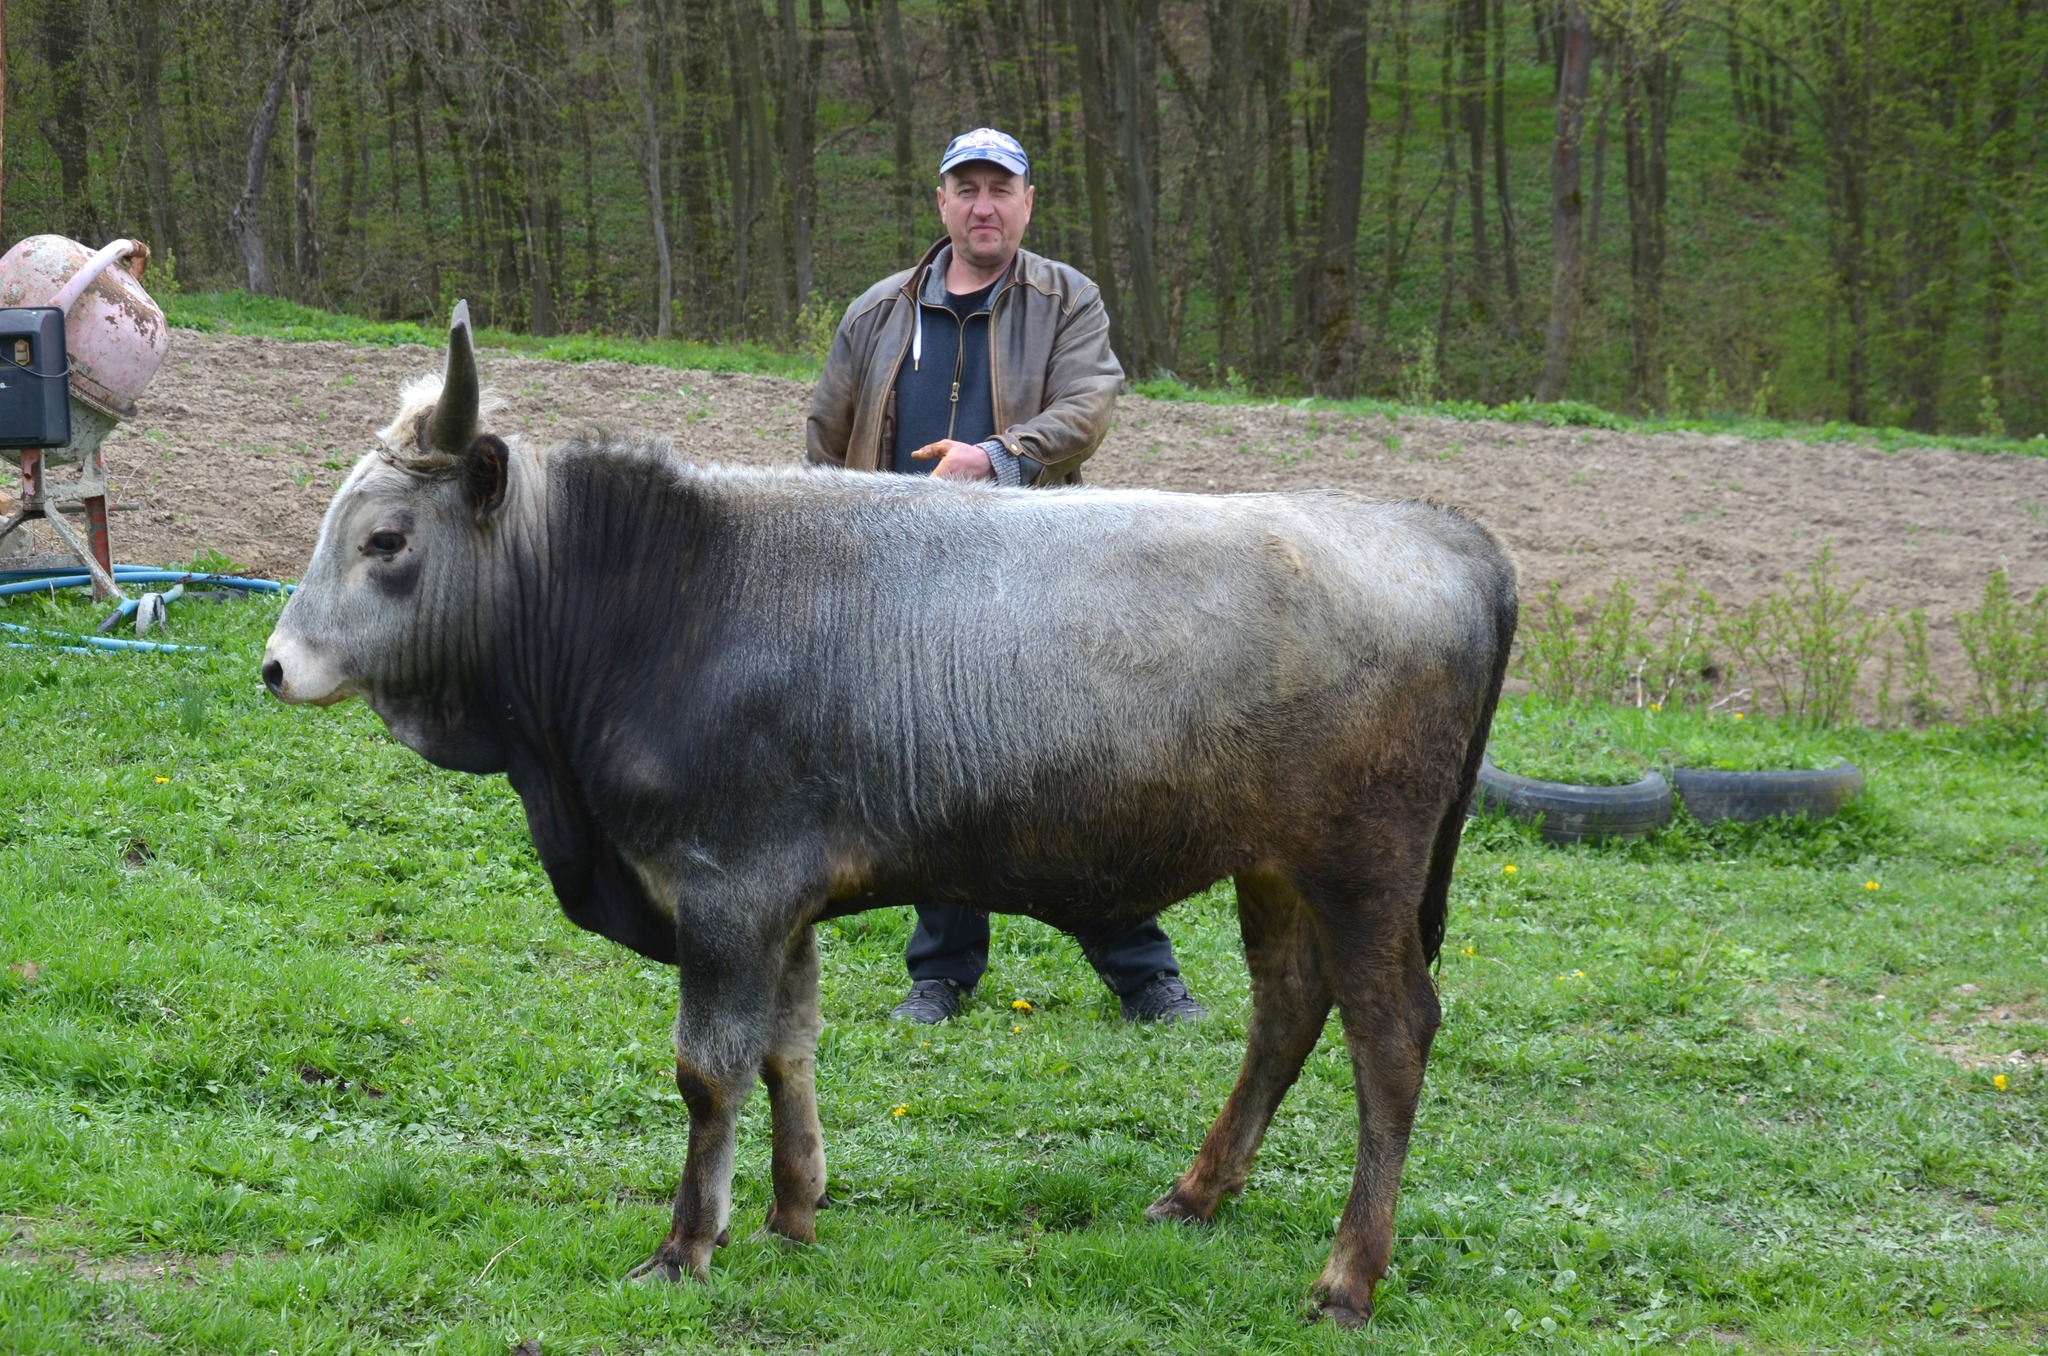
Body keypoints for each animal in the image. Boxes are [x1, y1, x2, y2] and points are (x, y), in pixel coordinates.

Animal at [260, 305, 1523, 1327]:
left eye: (385, 541)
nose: (275, 666)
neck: (664, 599)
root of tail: (1438, 529)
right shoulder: (779, 905)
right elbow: (788, 1048)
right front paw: (789, 1212)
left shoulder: (727, 892)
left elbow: (710, 1071)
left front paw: (685, 1246)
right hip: (1272, 868)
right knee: (1287, 1011)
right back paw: (1196, 1192)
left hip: (1362, 870)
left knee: (1390, 1037)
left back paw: (1347, 1275)